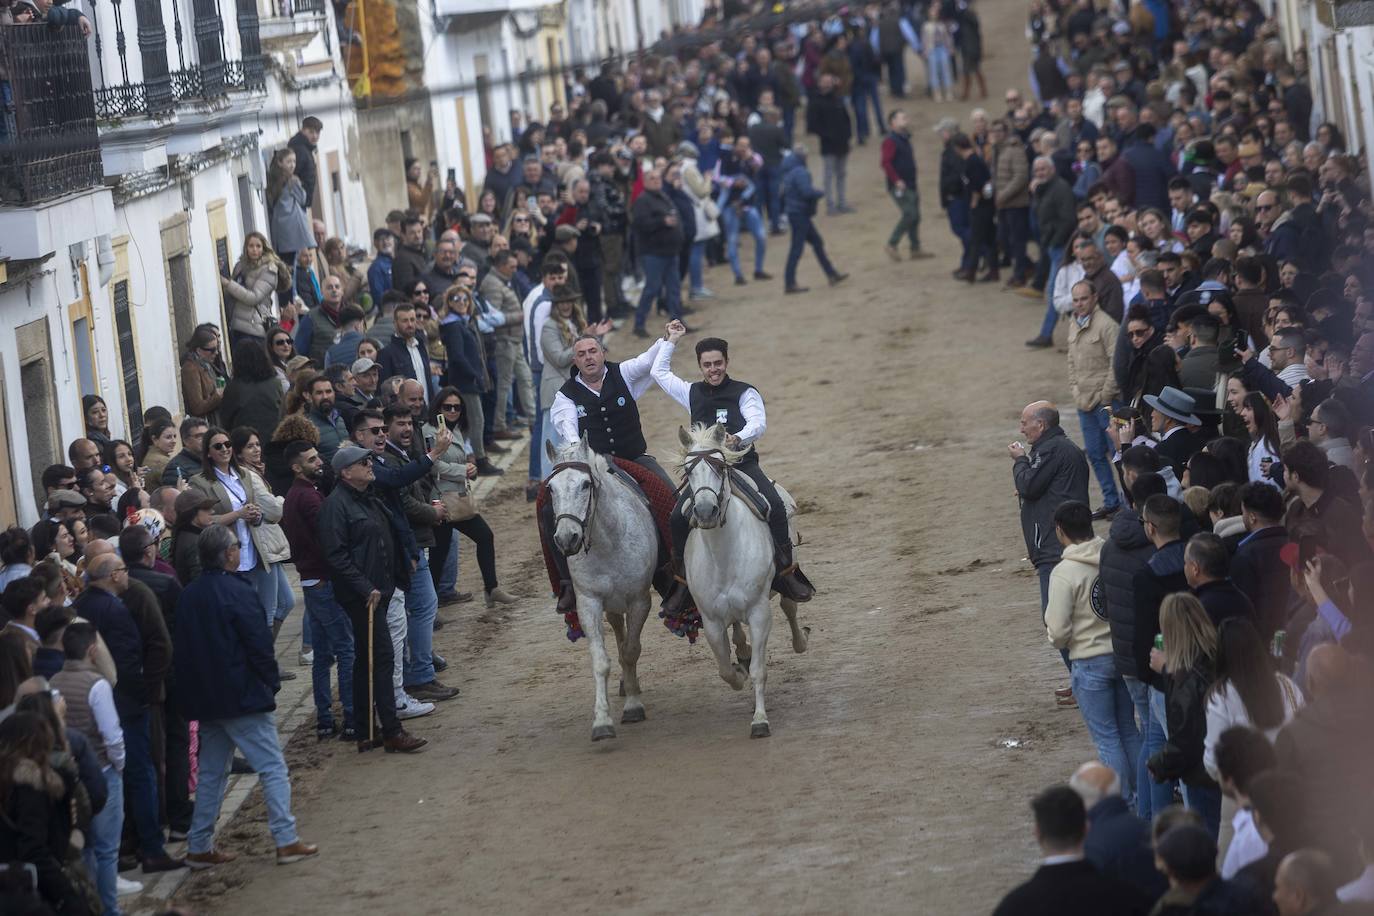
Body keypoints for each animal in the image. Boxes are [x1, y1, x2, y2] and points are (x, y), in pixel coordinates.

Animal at [544, 436, 656, 747]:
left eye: (585, 484)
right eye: (550, 488)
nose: (566, 538)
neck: (609, 541)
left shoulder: (639, 600)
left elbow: (631, 651)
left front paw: (633, 707)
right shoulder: (589, 603)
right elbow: (601, 661)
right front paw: (602, 722)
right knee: (617, 631)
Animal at [678, 425, 807, 736]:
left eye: (720, 467)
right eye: (688, 471)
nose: (705, 512)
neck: (723, 554)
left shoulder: (759, 614)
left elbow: (760, 670)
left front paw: (760, 721)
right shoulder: (711, 621)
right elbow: (725, 669)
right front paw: (738, 673)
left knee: (789, 607)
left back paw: (801, 641)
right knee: (737, 631)